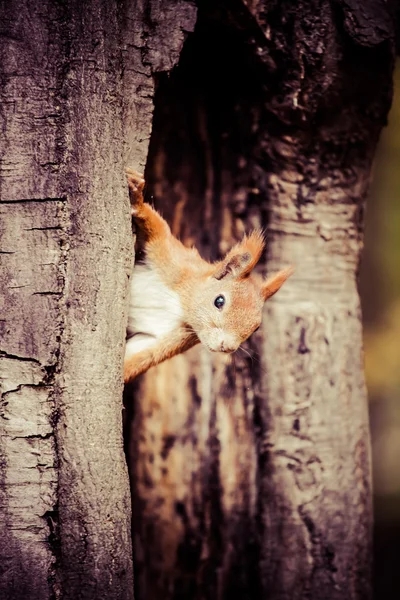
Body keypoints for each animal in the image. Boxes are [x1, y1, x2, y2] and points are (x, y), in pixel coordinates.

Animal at [123, 170, 292, 384]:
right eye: (219, 301)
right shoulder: (173, 263)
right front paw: (137, 196)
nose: (226, 347)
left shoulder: (174, 336)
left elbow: (139, 357)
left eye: (256, 328)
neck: (183, 304)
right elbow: (157, 230)